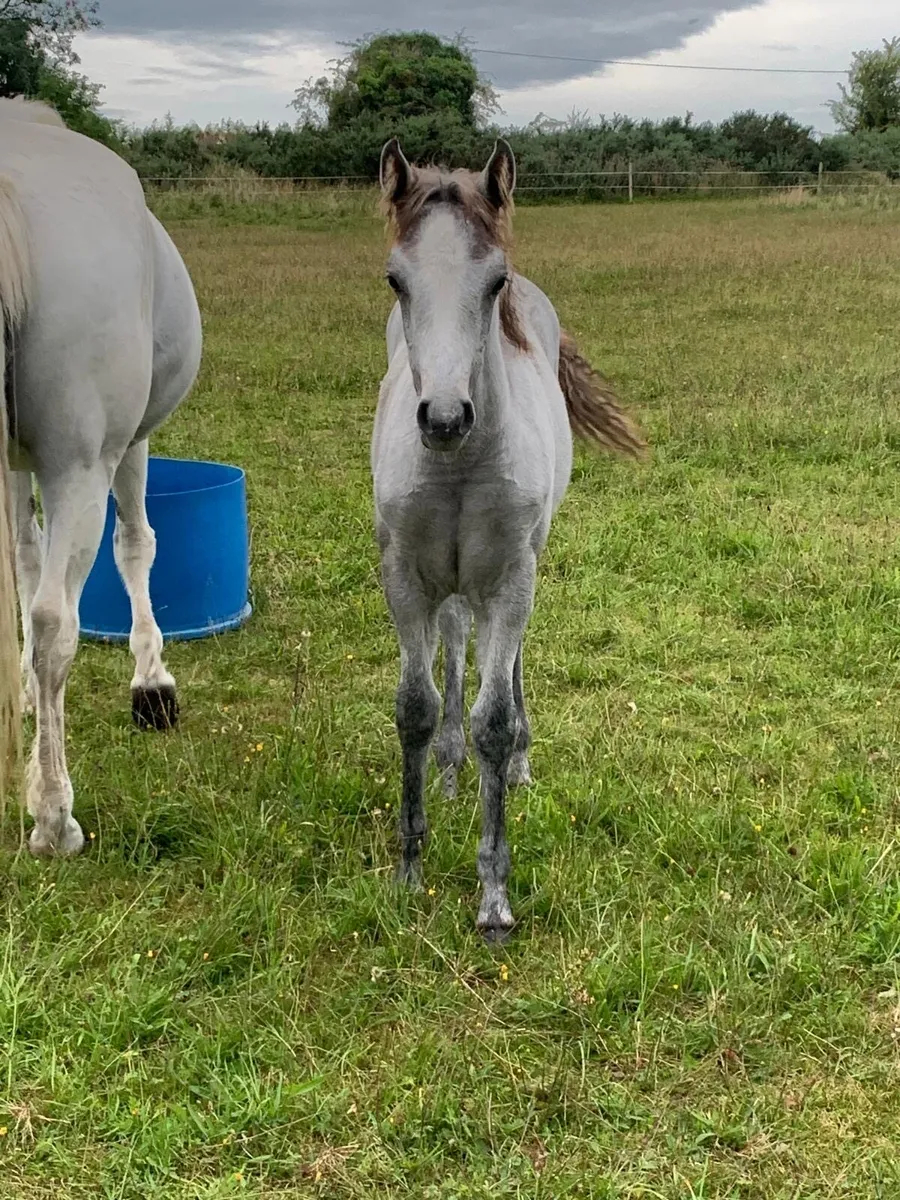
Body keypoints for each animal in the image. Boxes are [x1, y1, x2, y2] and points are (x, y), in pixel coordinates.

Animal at [0, 97, 202, 857]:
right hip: (84, 471)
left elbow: (23, 558)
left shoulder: (11, 463)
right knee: (57, 624)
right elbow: (136, 545)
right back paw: (53, 818)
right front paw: (152, 683)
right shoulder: (128, 445)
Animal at [372, 137, 645, 939]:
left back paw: (515, 760)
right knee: (457, 638)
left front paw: (494, 894)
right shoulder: (405, 581)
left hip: (519, 572)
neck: (460, 465)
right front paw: (409, 868)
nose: (443, 417)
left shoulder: (509, 580)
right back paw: (451, 767)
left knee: (506, 657)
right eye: (395, 280)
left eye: (495, 282)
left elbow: (492, 716)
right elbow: (416, 707)